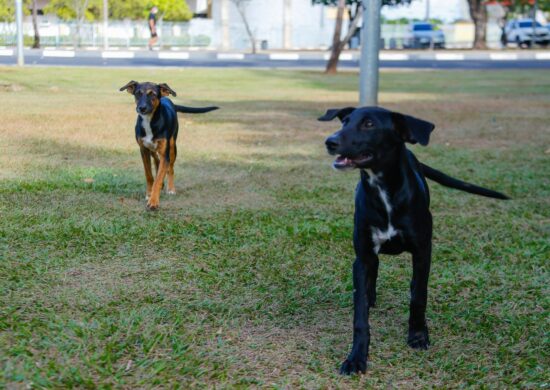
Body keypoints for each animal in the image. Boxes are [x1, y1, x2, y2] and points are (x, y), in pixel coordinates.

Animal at [119, 80, 219, 210]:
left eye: (153, 94)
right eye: (137, 93)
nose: (142, 108)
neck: (149, 121)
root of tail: (169, 101)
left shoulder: (165, 153)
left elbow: (159, 178)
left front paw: (153, 201)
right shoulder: (143, 150)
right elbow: (149, 174)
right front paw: (149, 193)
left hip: (172, 147)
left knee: (170, 168)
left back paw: (171, 188)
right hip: (153, 149)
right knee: (157, 159)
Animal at [322, 106, 512, 374]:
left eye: (369, 124)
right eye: (345, 121)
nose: (331, 141)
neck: (383, 190)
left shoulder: (423, 253)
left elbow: (418, 296)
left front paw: (418, 335)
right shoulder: (364, 255)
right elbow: (360, 315)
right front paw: (356, 357)